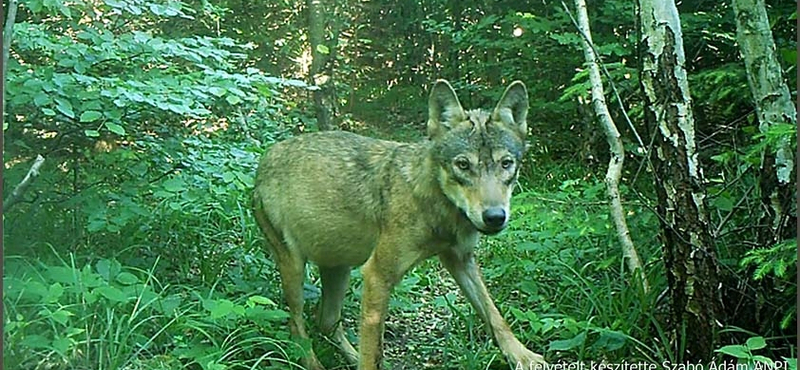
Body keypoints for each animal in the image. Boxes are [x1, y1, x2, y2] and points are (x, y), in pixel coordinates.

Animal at [253, 79, 548, 368]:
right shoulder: (377, 275)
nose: (495, 216)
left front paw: (522, 356)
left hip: (339, 268)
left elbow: (494, 313)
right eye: (463, 165)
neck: (437, 205)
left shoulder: (460, 259)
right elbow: (372, 353)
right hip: (295, 267)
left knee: (325, 321)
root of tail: (265, 158)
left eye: (506, 164)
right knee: (296, 328)